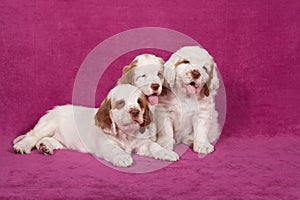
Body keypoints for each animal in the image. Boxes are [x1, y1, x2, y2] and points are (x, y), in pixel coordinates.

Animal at [12, 84, 179, 167]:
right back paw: (22, 146)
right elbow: (114, 150)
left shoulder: (142, 144)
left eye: (139, 102)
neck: (125, 135)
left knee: (48, 140)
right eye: (121, 103)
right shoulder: (105, 143)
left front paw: (167, 153)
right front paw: (123, 158)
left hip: (61, 140)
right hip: (49, 124)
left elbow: (154, 146)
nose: (135, 112)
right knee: (32, 136)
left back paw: (45, 147)